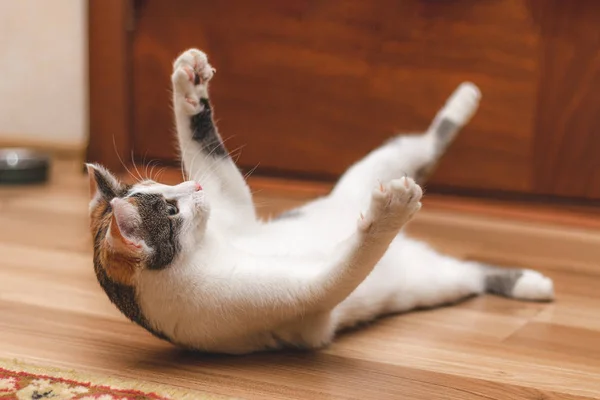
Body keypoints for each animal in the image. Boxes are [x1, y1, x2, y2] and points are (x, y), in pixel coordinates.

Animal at [84, 49, 552, 354]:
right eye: (171, 210)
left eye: (171, 189)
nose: (195, 188)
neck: (208, 248)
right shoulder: (298, 298)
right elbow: (346, 265)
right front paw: (389, 213)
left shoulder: (234, 209)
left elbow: (209, 153)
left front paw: (190, 86)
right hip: (439, 281)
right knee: (472, 272)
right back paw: (532, 282)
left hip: (376, 165)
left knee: (428, 140)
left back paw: (465, 97)